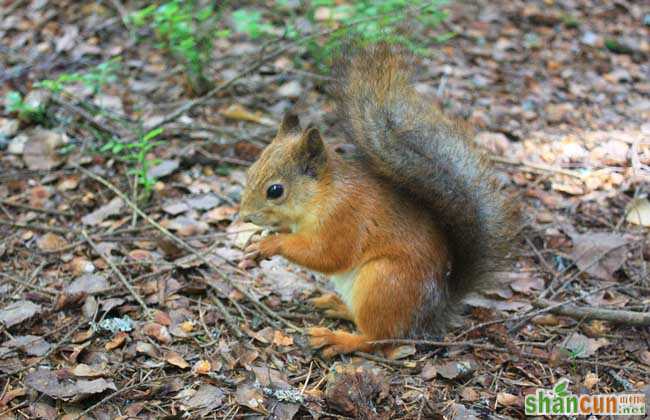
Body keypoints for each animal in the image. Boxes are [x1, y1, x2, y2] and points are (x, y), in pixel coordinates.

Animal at [237, 43, 516, 358]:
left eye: (275, 190)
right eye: (250, 170)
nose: (244, 215)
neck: (322, 196)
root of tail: (431, 313)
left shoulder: (345, 218)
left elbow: (327, 254)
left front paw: (272, 244)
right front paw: (259, 240)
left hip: (382, 284)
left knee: (377, 338)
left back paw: (338, 339)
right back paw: (338, 307)